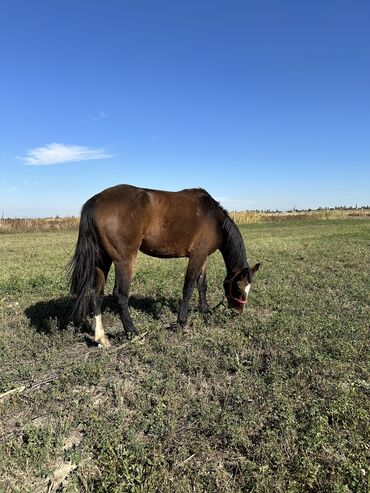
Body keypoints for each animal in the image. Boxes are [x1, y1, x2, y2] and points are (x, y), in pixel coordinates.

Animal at [69, 184, 260, 346]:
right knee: (120, 295)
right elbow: (188, 287)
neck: (213, 218)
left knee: (97, 293)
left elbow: (202, 284)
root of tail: (95, 201)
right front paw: (182, 322)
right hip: (124, 260)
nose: (238, 313)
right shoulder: (197, 256)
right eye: (239, 288)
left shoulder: (203, 256)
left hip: (102, 259)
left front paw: (204, 310)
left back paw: (101, 338)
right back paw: (134, 333)